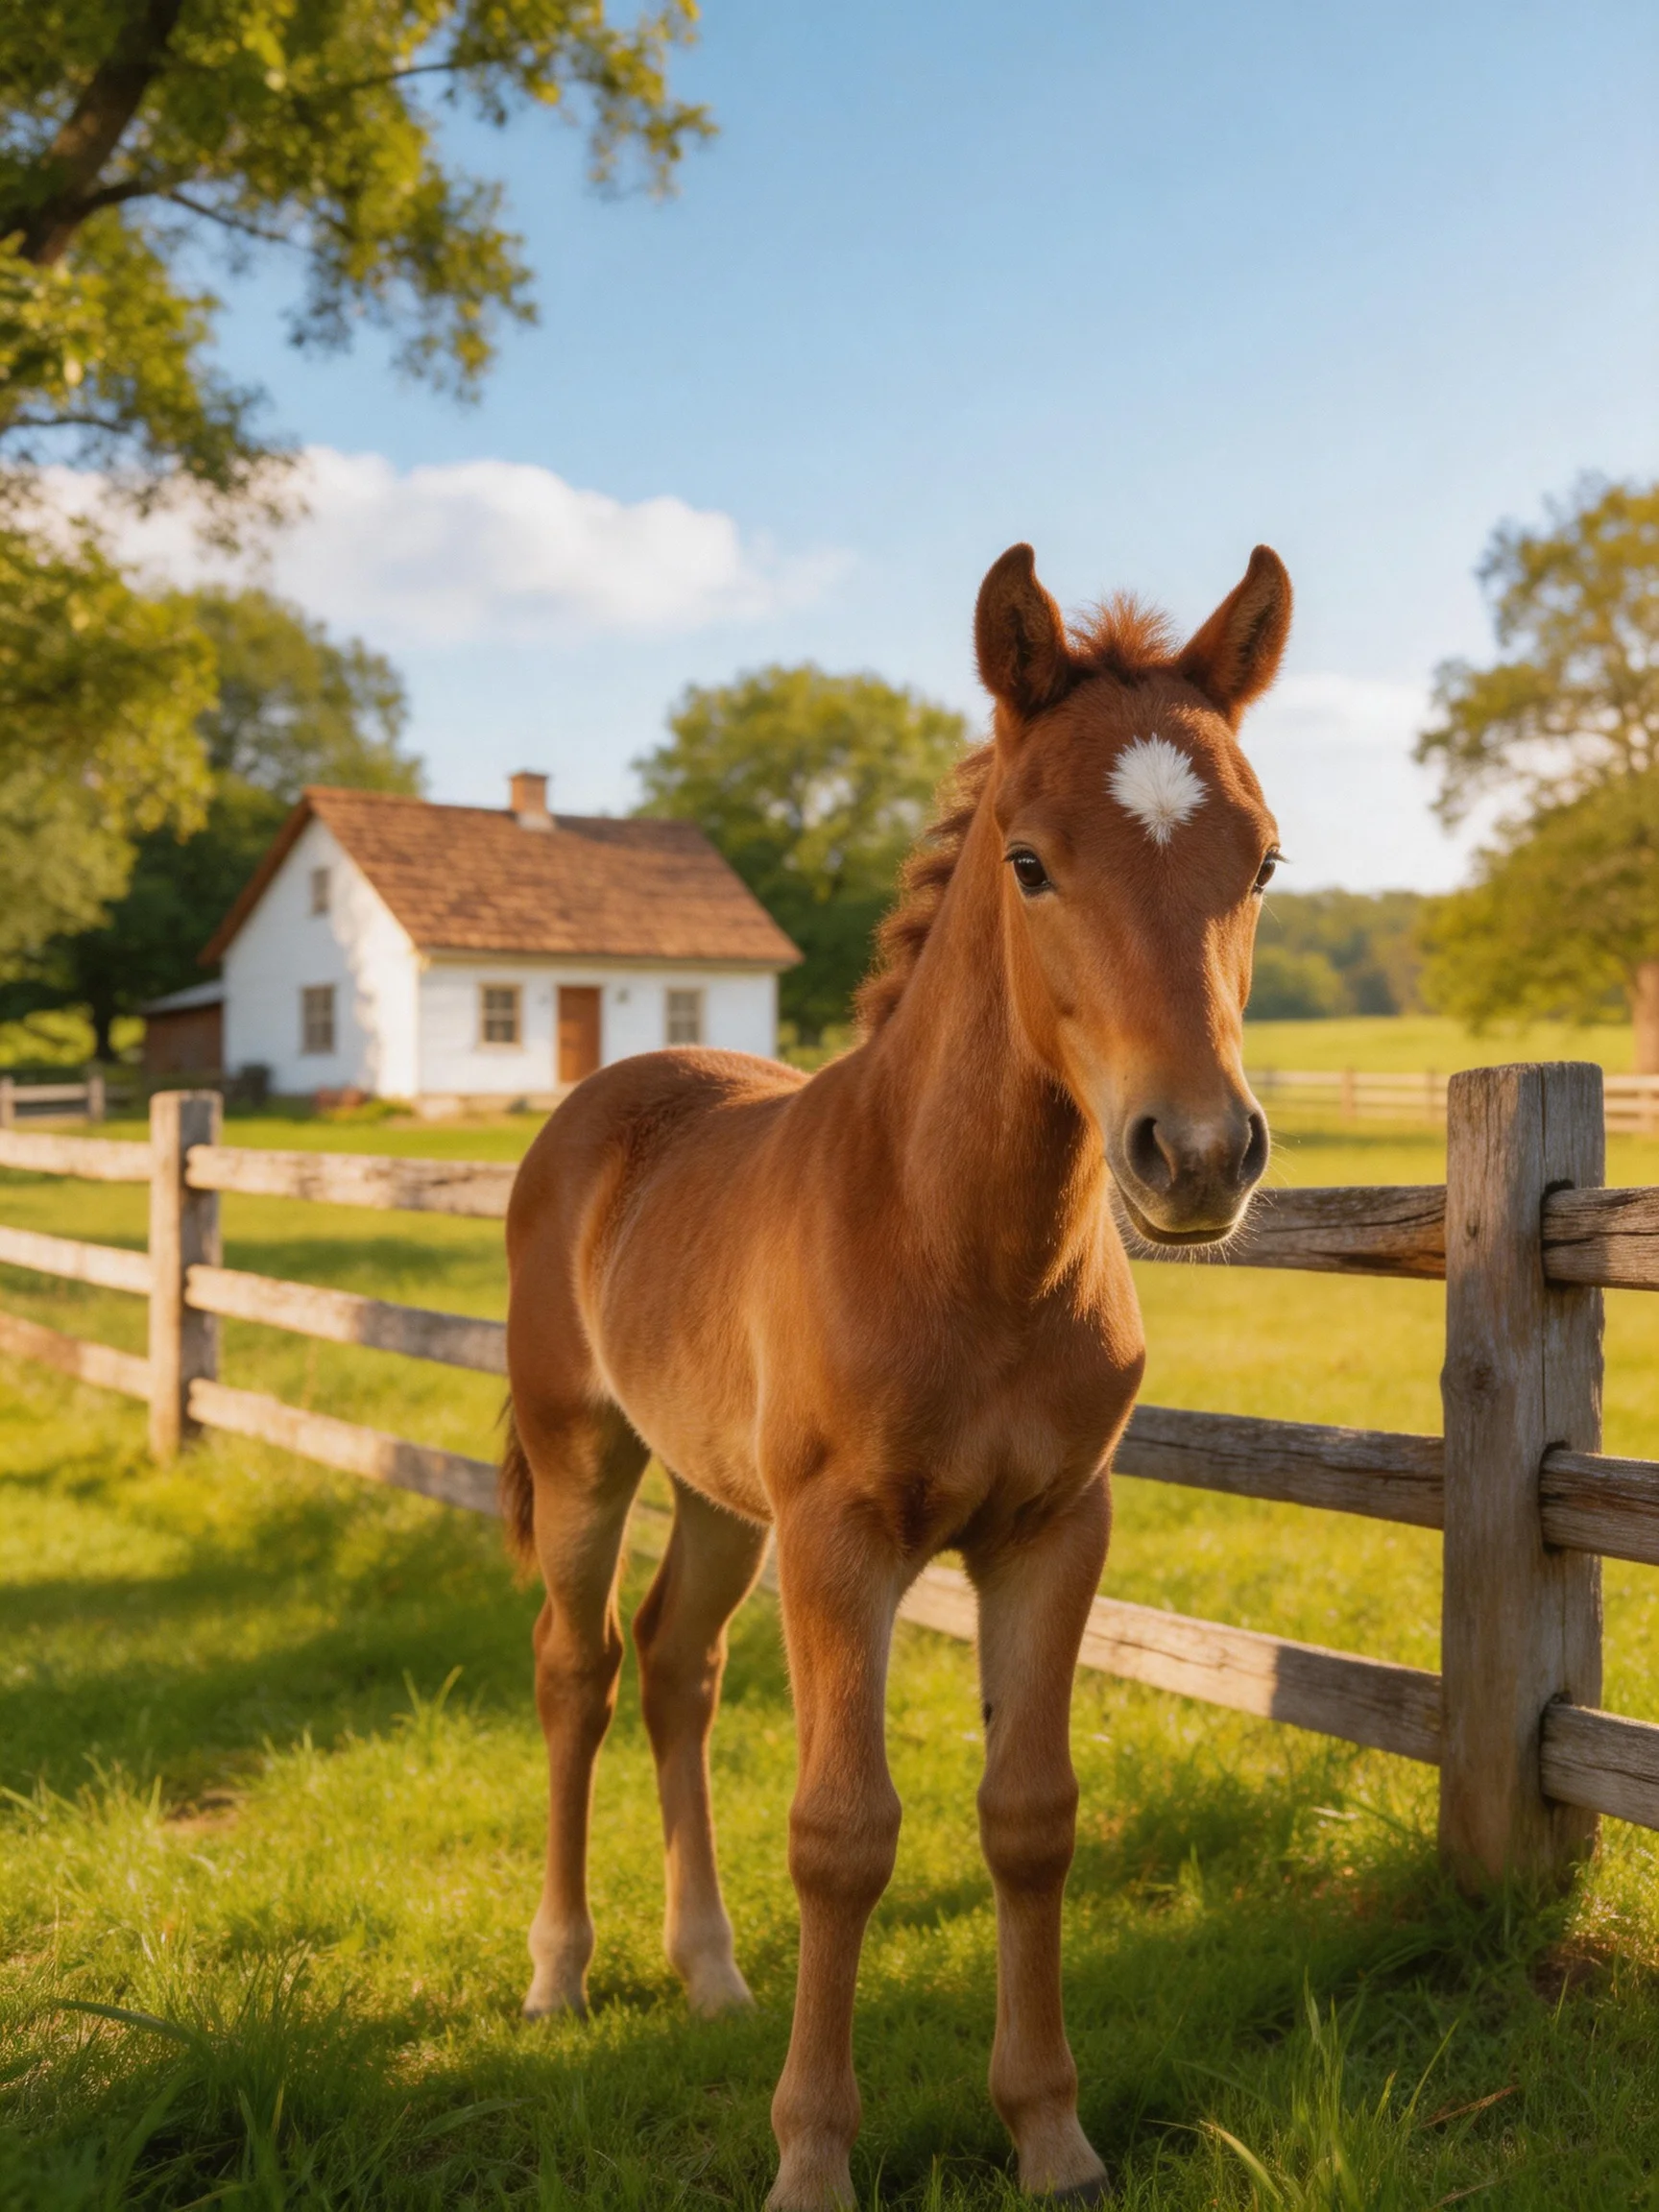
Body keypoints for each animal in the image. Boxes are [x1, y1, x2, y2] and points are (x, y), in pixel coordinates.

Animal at [500, 539, 1291, 2208]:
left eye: (1261, 862)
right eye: (1032, 862)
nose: (1196, 1155)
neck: (961, 1243)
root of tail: (605, 1096)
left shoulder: (1053, 1530)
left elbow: (1031, 1816)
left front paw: (1052, 2136)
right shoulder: (843, 1538)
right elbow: (843, 1834)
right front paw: (810, 2157)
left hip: (722, 1497)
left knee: (675, 1665)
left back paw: (711, 1974)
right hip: (587, 1457)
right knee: (576, 1669)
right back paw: (561, 1972)